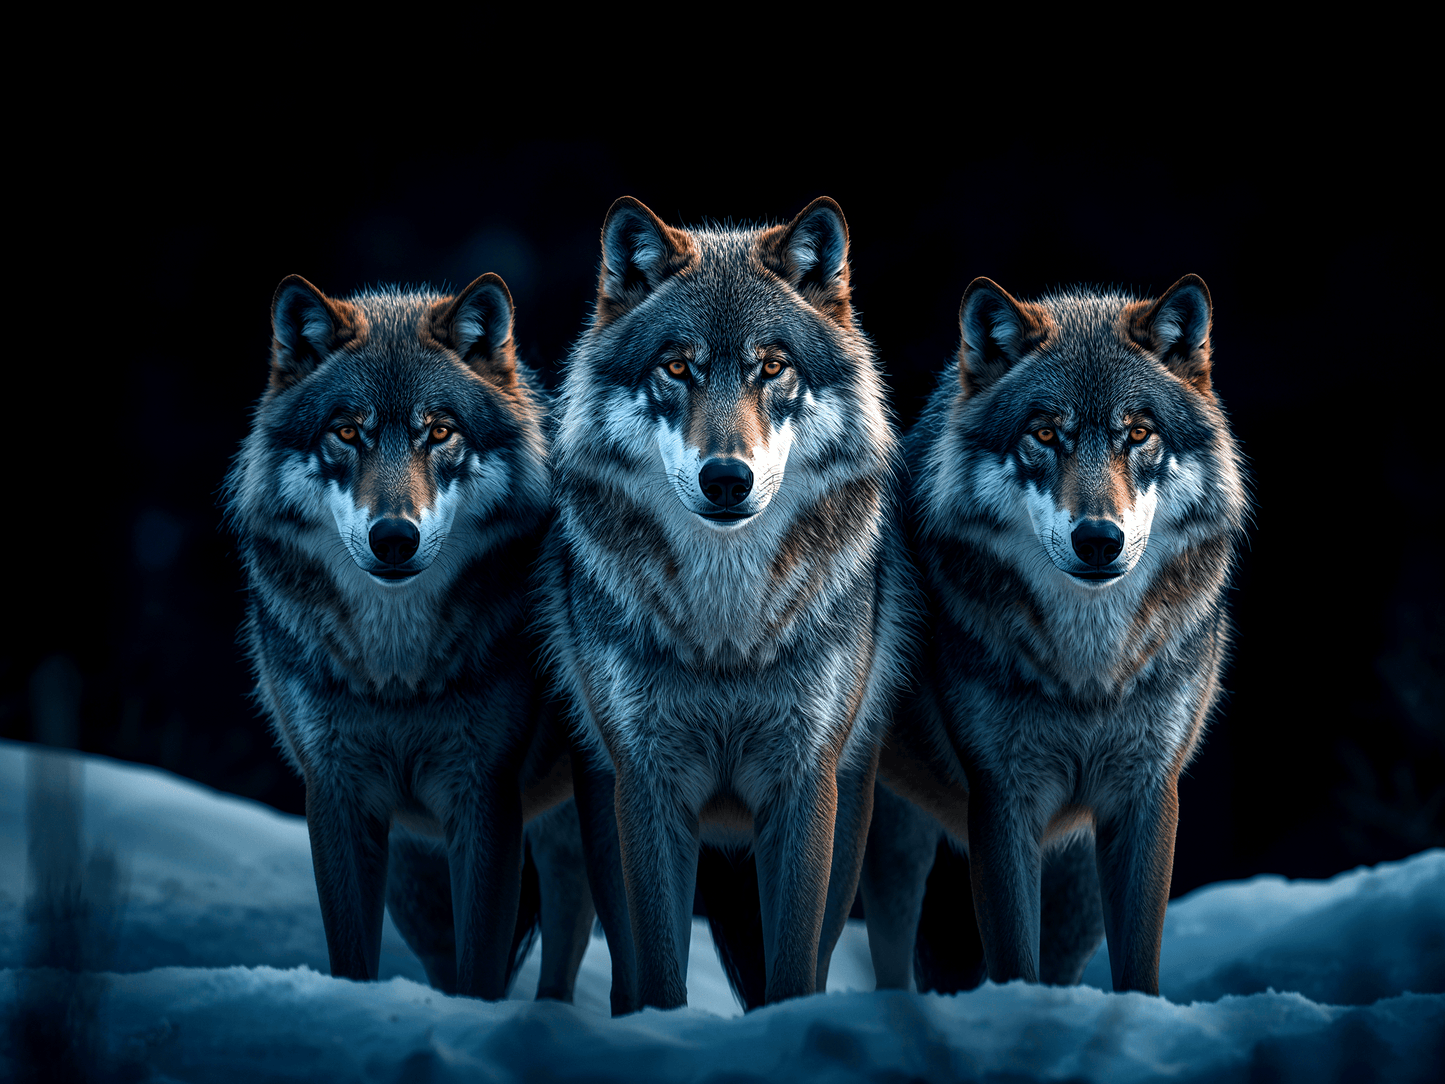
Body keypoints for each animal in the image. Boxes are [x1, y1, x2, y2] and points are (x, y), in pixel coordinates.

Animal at [227, 273, 634, 1005]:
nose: (394, 537)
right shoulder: (338, 796)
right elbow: (353, 958)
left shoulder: (485, 798)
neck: (397, 673)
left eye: (439, 432)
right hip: (421, 881)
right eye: (347, 432)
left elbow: (482, 970)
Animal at [538, 197, 915, 1009]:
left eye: (771, 366)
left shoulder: (805, 784)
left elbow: (794, 968)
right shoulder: (644, 784)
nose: (725, 479)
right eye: (677, 366)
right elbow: (656, 968)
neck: (726, 635)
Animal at [862, 275, 1247, 995]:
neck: (1087, 670)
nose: (1098, 539)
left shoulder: (1146, 794)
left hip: (1068, 896)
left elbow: (1138, 964)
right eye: (1044, 434)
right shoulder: (1002, 800)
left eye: (1138, 433)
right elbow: (1015, 961)